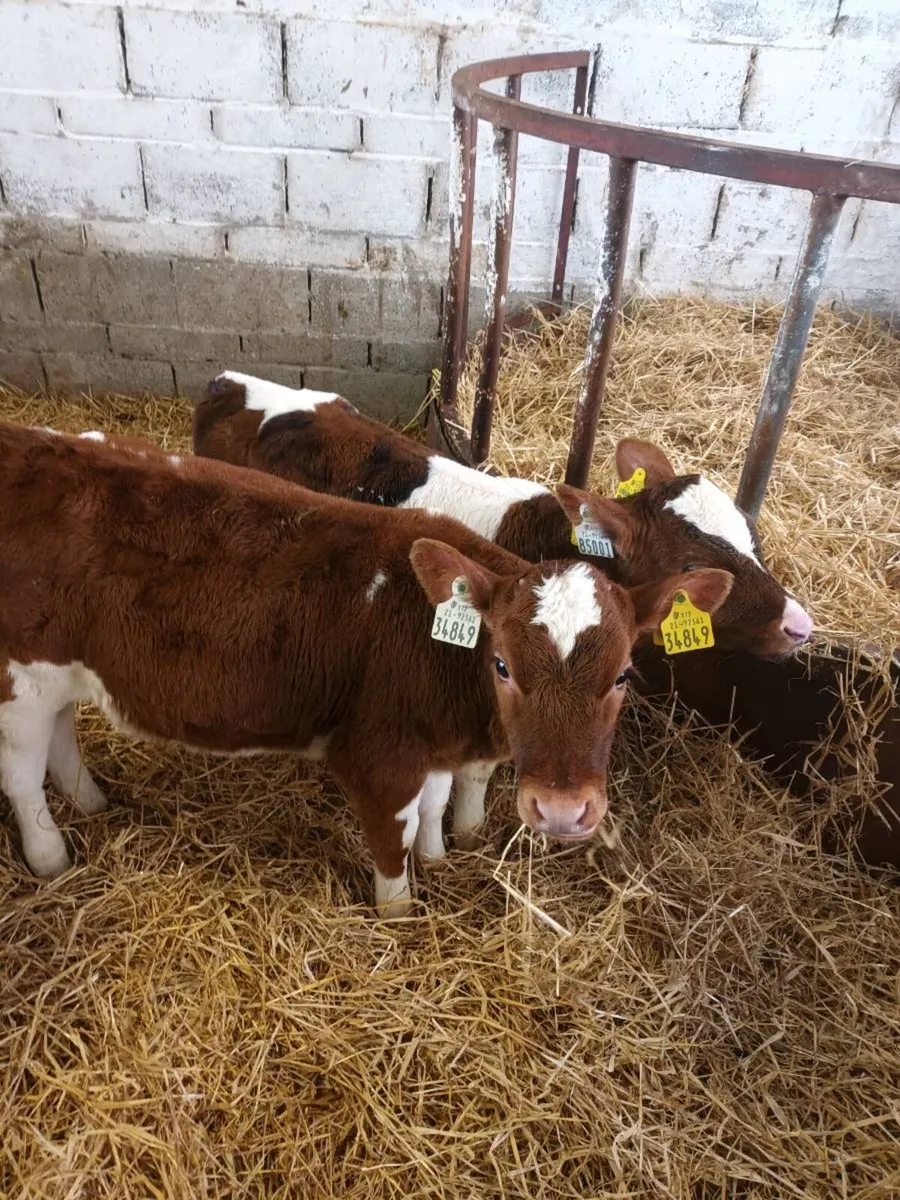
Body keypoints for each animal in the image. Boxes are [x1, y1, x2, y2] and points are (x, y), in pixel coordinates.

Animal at [0, 421, 733, 915]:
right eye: (501, 664)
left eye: (623, 675)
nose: (561, 810)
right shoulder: (378, 756)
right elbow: (392, 837)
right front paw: (400, 912)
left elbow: (436, 804)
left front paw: (438, 856)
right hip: (19, 681)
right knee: (22, 774)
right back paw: (51, 858)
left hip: (57, 673)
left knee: (61, 736)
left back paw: (92, 802)